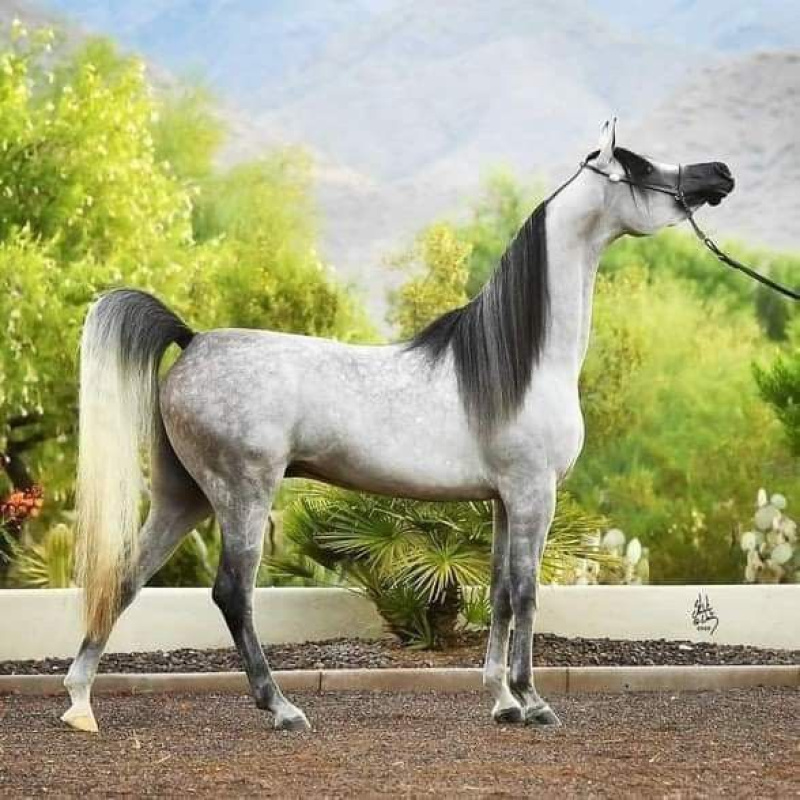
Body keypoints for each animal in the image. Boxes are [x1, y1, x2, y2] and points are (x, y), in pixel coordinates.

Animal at [62, 119, 734, 733]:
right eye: (640, 165)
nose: (719, 173)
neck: (523, 362)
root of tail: (193, 339)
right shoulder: (532, 493)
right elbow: (526, 591)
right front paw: (532, 701)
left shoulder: (501, 500)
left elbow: (497, 590)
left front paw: (502, 702)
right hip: (242, 493)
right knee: (231, 592)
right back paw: (281, 708)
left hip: (184, 494)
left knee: (124, 578)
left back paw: (80, 703)